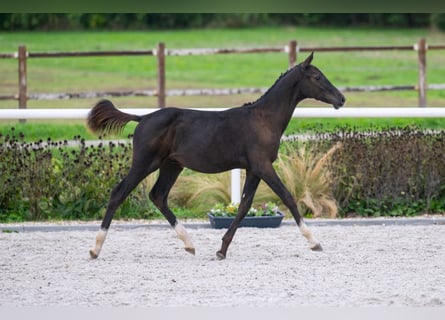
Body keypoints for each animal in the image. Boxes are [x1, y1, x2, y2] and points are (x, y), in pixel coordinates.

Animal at [86, 52, 344, 260]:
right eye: (317, 77)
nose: (341, 99)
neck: (263, 119)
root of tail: (143, 118)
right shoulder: (263, 166)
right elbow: (288, 197)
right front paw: (314, 242)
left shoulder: (253, 169)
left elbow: (244, 206)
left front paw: (222, 249)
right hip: (144, 163)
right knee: (118, 194)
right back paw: (95, 248)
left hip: (171, 165)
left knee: (158, 196)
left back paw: (189, 245)